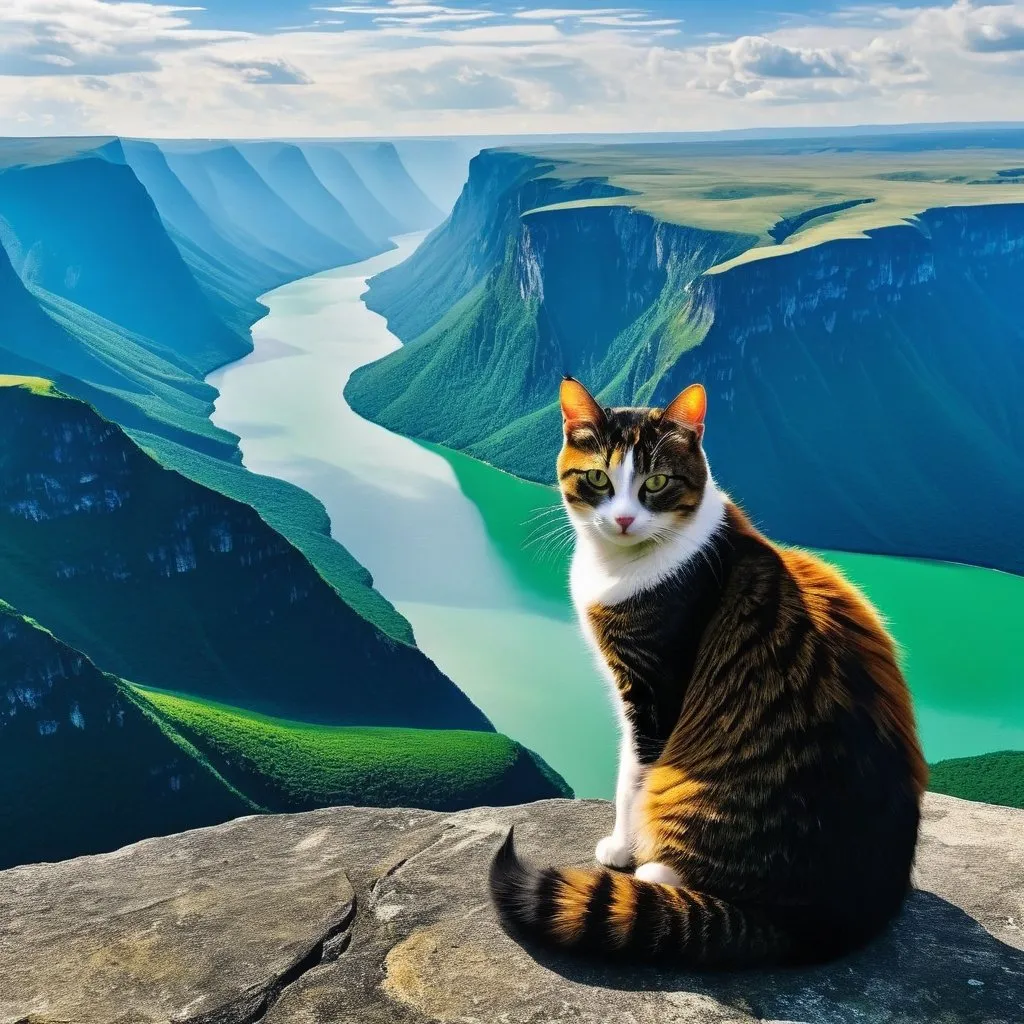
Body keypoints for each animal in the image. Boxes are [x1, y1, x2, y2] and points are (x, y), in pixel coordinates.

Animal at [487, 378, 929, 966]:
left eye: (655, 482)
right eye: (599, 478)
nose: (624, 518)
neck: (619, 568)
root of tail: (830, 921)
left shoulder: (653, 691)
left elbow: (631, 779)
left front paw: (622, 847)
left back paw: (655, 872)